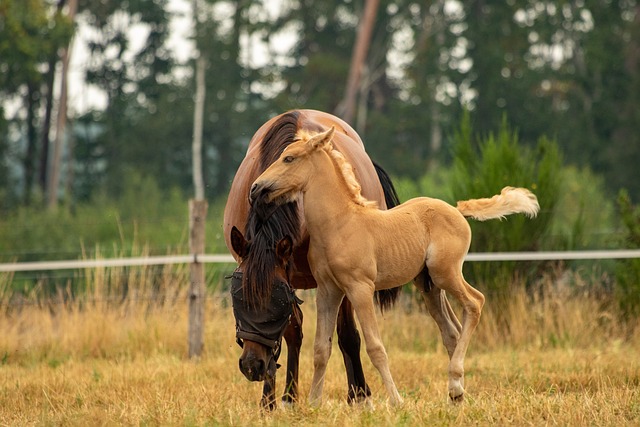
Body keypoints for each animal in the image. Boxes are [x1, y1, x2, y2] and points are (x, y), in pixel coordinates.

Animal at [224, 108, 400, 410]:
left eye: (277, 300)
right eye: (238, 298)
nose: (252, 366)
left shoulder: (341, 279)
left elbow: (348, 335)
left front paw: (360, 395)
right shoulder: (287, 274)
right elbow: (292, 332)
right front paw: (274, 400)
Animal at [250, 128, 540, 408]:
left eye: (289, 158)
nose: (256, 189)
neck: (339, 224)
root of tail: (457, 210)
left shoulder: (360, 288)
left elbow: (375, 347)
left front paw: (396, 401)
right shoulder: (327, 290)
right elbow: (321, 348)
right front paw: (313, 404)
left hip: (445, 273)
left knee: (475, 302)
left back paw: (455, 384)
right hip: (429, 285)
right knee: (452, 330)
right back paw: (456, 393)